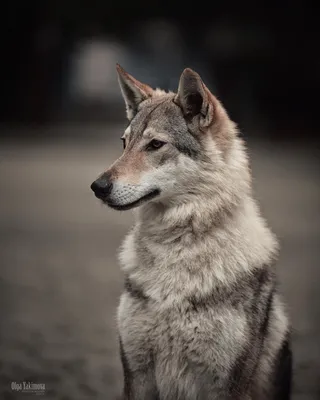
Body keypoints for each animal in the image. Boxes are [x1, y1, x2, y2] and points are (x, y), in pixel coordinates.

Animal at [90, 64, 292, 398]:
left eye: (155, 145)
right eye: (124, 143)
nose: (97, 187)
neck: (176, 249)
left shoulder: (225, 384)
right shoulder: (137, 373)